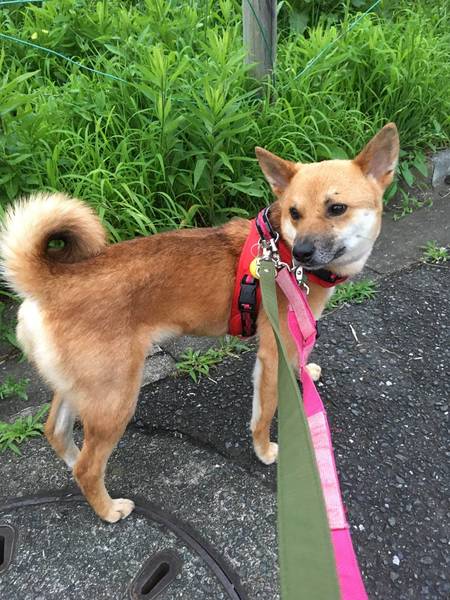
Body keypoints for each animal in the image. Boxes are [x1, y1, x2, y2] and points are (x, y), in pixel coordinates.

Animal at [0, 123, 399, 522]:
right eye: (294, 212)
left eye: (336, 208)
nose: (302, 252)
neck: (282, 252)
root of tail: (53, 280)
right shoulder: (272, 353)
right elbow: (264, 413)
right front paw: (264, 451)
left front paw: (306, 371)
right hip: (115, 399)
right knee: (88, 466)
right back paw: (109, 508)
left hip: (83, 389)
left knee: (57, 433)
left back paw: (72, 463)